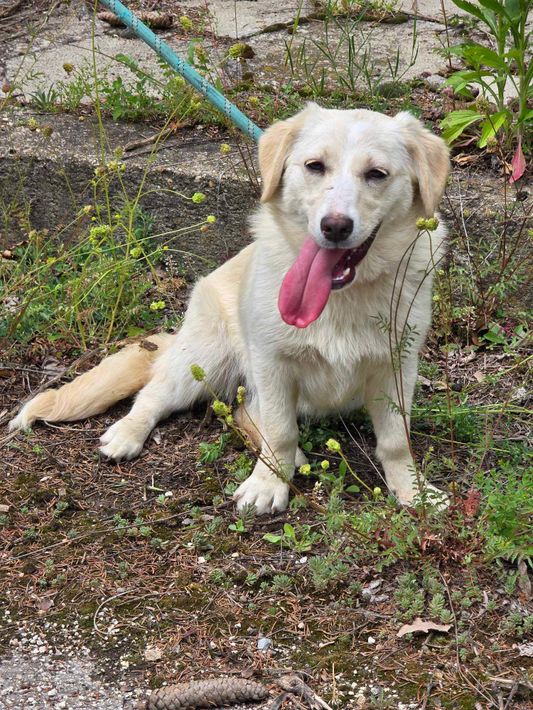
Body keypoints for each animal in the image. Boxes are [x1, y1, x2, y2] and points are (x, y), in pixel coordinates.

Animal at [9, 104, 450, 513]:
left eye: (376, 174)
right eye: (315, 166)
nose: (335, 226)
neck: (341, 298)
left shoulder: (397, 365)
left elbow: (395, 440)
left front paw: (413, 490)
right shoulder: (273, 364)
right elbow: (280, 432)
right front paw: (268, 485)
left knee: (243, 413)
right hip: (203, 362)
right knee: (156, 397)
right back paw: (128, 434)